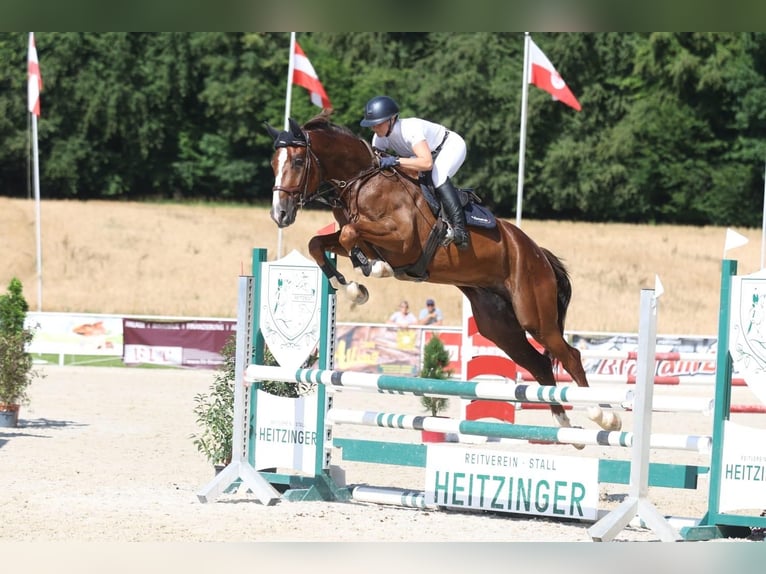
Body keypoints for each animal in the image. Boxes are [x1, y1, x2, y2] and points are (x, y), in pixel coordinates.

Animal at [268, 111, 620, 436]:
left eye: (297, 161)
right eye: (274, 162)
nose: (280, 214)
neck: (363, 182)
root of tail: (537, 253)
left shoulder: (403, 240)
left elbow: (350, 234)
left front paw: (372, 269)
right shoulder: (357, 236)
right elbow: (322, 242)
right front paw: (351, 284)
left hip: (534, 314)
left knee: (570, 355)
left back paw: (605, 416)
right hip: (499, 326)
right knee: (541, 363)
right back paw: (563, 423)